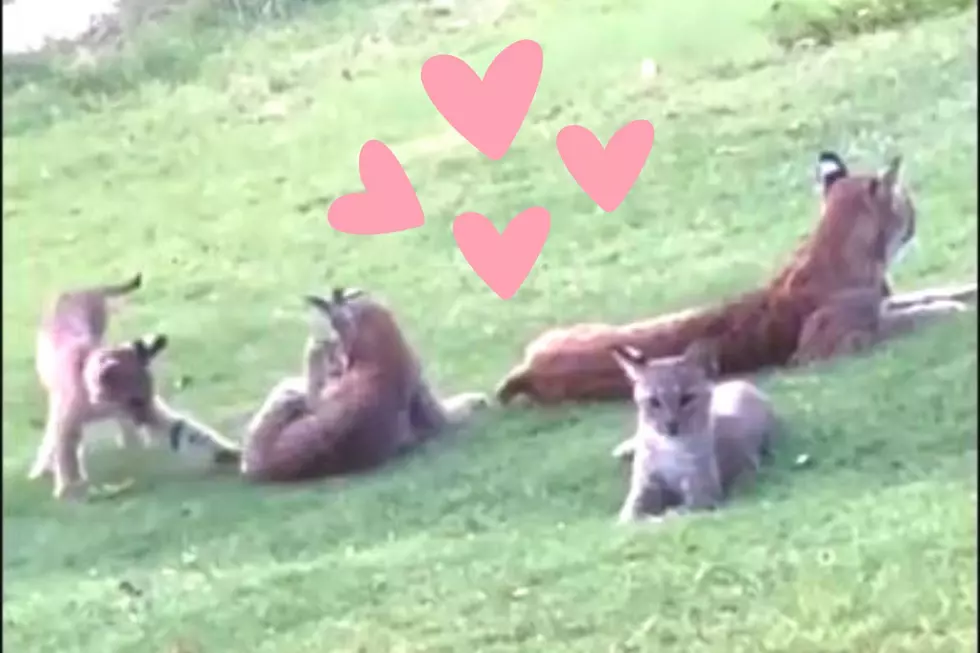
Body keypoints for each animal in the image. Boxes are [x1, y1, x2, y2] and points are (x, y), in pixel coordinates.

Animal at [33, 272, 241, 500]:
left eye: (147, 398)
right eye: (134, 400)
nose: (145, 421)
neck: (98, 404)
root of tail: (81, 288)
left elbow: (184, 429)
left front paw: (228, 453)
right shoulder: (68, 422)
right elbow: (66, 455)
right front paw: (69, 489)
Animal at [608, 338, 776, 524]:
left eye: (686, 398)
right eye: (654, 401)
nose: (671, 425)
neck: (670, 447)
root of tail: (745, 384)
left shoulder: (702, 493)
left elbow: (675, 514)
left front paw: (656, 518)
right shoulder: (645, 483)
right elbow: (630, 514)